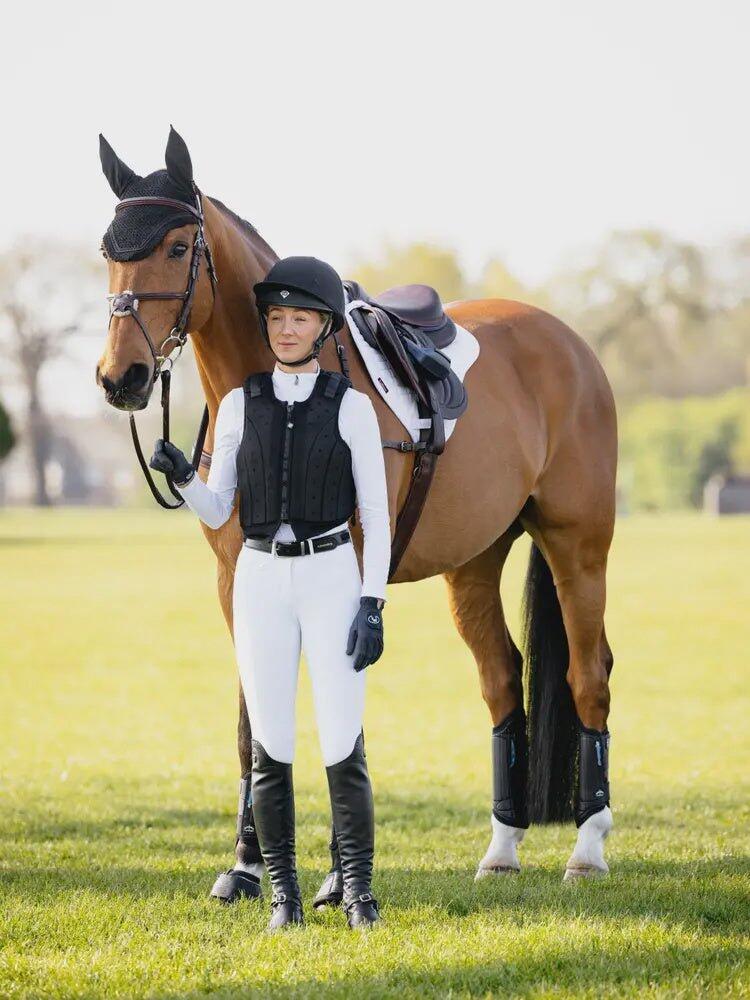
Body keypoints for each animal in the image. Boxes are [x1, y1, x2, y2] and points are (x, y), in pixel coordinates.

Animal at [95, 128, 617, 892]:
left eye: (178, 246)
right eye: (109, 251)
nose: (121, 377)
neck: (282, 394)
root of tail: (571, 344)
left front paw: (339, 879)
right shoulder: (238, 578)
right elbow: (255, 720)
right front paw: (245, 868)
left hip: (577, 548)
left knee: (588, 678)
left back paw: (588, 846)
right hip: (473, 564)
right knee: (501, 682)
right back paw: (502, 848)